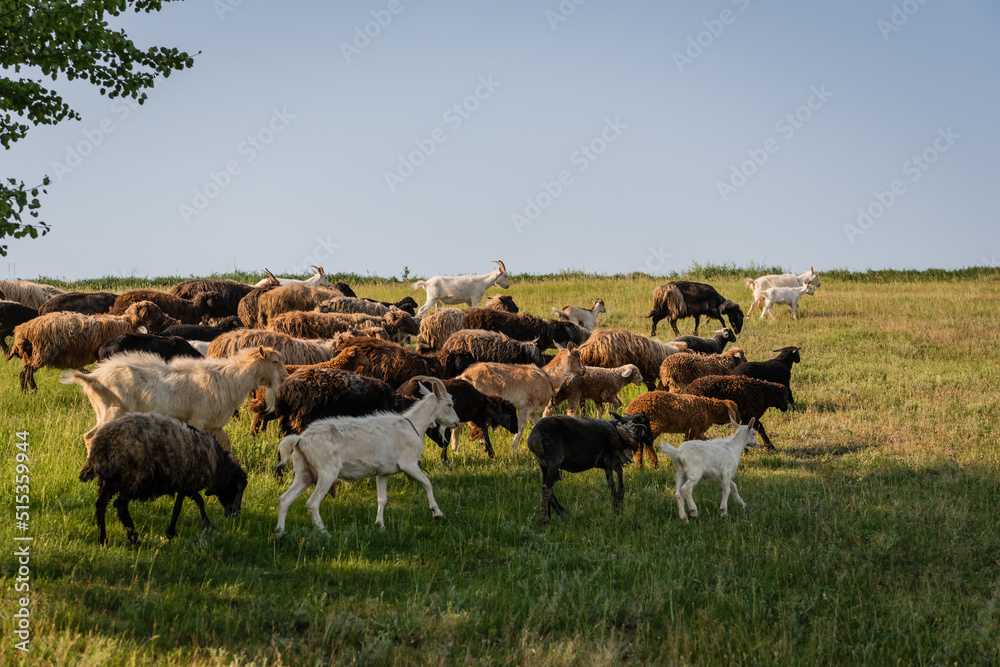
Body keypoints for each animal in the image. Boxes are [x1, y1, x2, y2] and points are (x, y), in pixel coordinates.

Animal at [7, 301, 173, 393]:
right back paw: (30, 393)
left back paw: (29, 392)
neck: (127, 321)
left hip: (32, 354)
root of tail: (22, 330)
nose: (167, 318)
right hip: (42, 352)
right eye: (155, 310)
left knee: (26, 373)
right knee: (25, 373)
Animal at [61, 345, 288, 451]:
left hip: (103, 411)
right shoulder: (197, 421)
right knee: (90, 436)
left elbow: (226, 443)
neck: (229, 378)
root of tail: (94, 377)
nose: (286, 376)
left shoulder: (214, 424)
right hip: (113, 411)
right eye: (275, 362)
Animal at [78, 413, 247, 545]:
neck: (217, 464)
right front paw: (174, 532)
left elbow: (195, 501)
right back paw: (134, 537)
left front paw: (204, 526)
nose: (235, 514)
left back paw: (103, 539)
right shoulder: (188, 481)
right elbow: (183, 506)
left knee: (100, 505)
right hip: (135, 479)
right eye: (238, 490)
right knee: (120, 505)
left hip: (110, 482)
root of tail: (101, 450)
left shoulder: (185, 483)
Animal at [274, 376, 460, 533]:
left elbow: (382, 499)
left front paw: (380, 525)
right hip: (327, 472)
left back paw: (280, 532)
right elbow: (427, 483)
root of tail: (301, 439)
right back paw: (324, 532)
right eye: (450, 404)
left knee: (285, 499)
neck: (412, 425)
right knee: (312, 503)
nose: (457, 422)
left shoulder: (383, 472)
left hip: (305, 472)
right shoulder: (409, 463)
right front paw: (437, 513)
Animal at [457, 344, 586, 455]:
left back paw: (456, 450)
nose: (584, 370)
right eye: (578, 357)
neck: (548, 377)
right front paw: (515, 449)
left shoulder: (533, 411)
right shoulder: (526, 406)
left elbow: (538, 422)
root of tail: (464, 376)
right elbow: (521, 426)